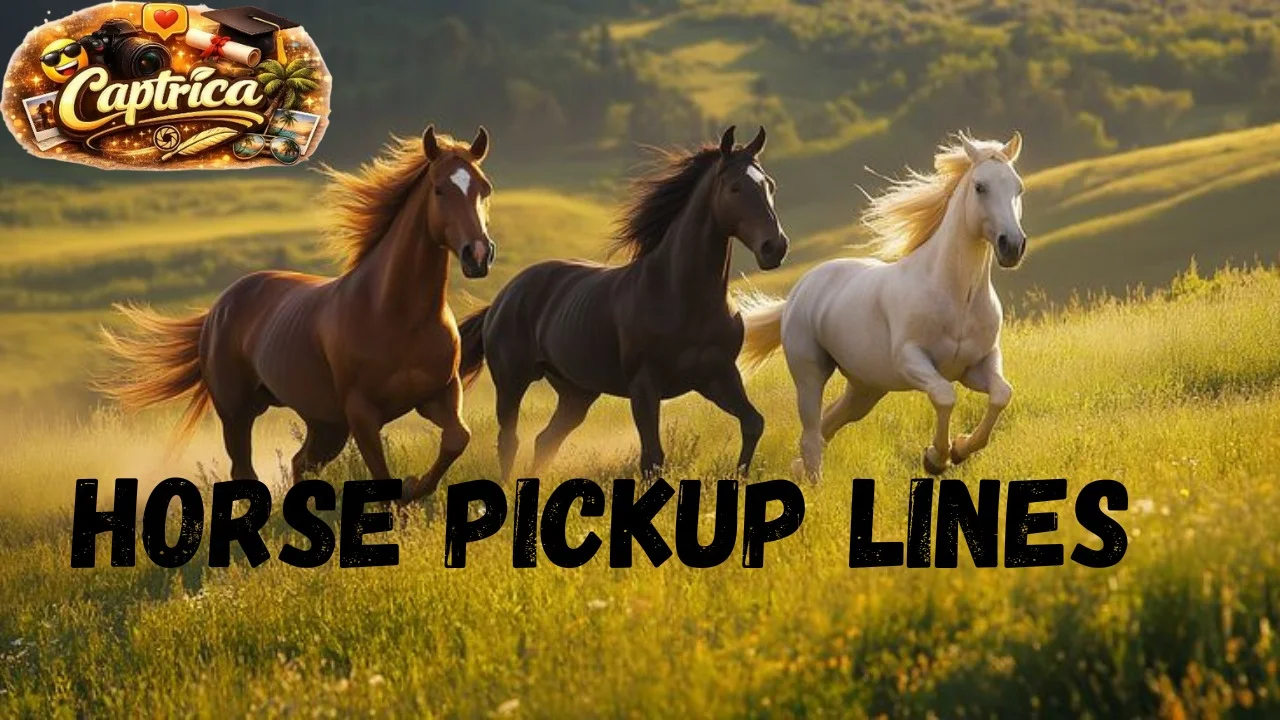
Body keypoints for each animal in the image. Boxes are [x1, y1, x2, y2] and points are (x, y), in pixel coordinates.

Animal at [99, 125, 496, 502]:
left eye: (484, 189)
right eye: (440, 190)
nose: (478, 254)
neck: (396, 314)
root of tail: (219, 308)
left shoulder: (440, 394)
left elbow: (457, 438)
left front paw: (415, 488)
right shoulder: (362, 414)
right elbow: (383, 478)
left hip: (325, 424)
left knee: (300, 463)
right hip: (238, 413)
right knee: (246, 469)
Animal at [457, 126, 789, 481]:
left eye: (770, 185)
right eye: (735, 187)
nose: (775, 247)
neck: (682, 296)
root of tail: (502, 299)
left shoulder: (717, 376)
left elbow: (753, 423)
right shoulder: (645, 385)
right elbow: (652, 458)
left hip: (576, 393)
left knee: (546, 439)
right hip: (512, 381)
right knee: (509, 440)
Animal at [738, 132, 1027, 480]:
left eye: (1018, 188)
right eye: (980, 187)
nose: (1012, 246)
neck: (958, 296)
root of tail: (801, 289)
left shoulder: (979, 364)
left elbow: (1001, 394)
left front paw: (960, 449)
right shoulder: (911, 360)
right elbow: (945, 396)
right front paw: (936, 458)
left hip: (865, 389)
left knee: (827, 424)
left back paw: (798, 468)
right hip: (810, 375)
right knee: (811, 435)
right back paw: (813, 481)